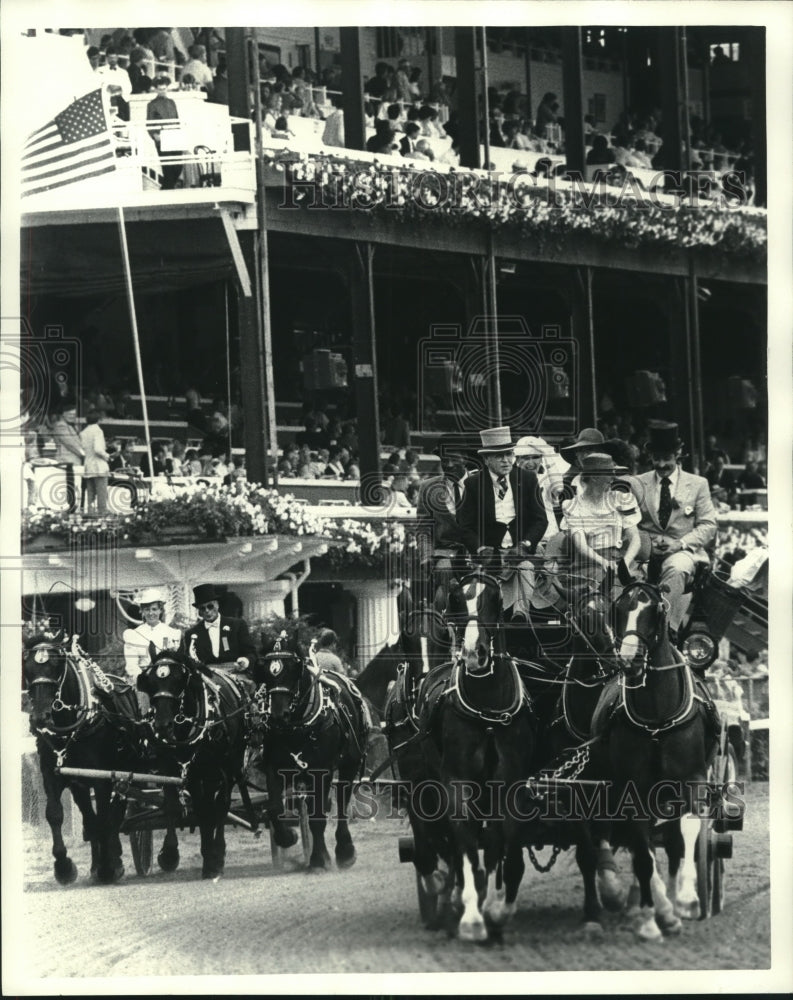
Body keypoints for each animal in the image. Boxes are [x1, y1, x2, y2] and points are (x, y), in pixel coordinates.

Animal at [21, 628, 138, 888]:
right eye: (27, 667)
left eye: (57, 665)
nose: (40, 717)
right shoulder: (53, 774)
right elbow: (55, 814)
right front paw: (64, 867)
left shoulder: (103, 779)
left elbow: (104, 819)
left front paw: (107, 868)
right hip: (80, 786)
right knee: (91, 820)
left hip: (124, 776)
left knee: (114, 814)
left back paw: (114, 860)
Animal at [137, 648, 251, 876]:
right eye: (151, 681)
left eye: (179, 679)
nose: (162, 724)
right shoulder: (169, 768)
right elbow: (173, 806)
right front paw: (169, 853)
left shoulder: (208, 773)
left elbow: (207, 810)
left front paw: (211, 859)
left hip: (229, 766)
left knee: (221, 805)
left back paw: (219, 852)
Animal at [254, 632, 372, 876]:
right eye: (266, 670)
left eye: (294, 668)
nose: (278, 714)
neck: (297, 726)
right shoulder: (274, 768)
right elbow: (274, 808)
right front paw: (288, 837)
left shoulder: (322, 771)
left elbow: (318, 818)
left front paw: (318, 860)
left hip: (349, 764)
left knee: (342, 803)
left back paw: (344, 851)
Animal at [600, 580, 716, 936]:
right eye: (618, 608)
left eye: (654, 610)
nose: (630, 660)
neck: (657, 719)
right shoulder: (634, 788)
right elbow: (644, 851)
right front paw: (652, 915)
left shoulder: (693, 778)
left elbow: (688, 830)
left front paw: (688, 899)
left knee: (676, 843)